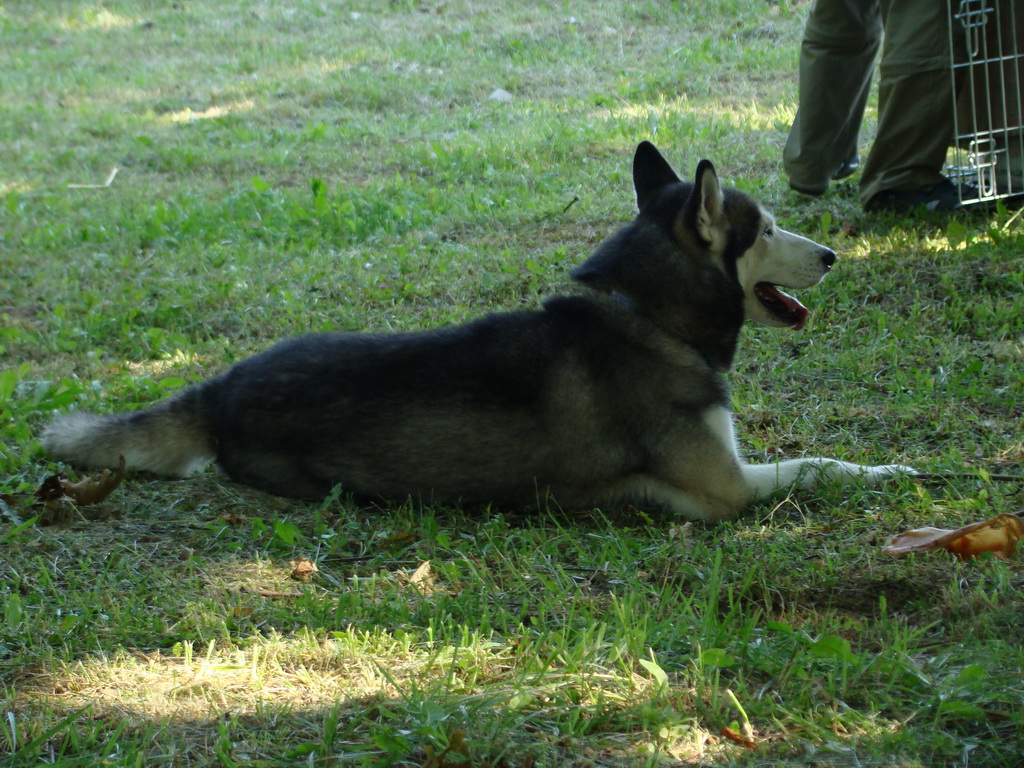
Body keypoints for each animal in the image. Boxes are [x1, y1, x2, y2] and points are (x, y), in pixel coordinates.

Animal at [41, 143, 913, 524]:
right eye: (765, 230)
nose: (832, 256)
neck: (645, 314)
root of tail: (220, 385)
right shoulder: (726, 490)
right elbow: (819, 464)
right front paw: (893, 471)